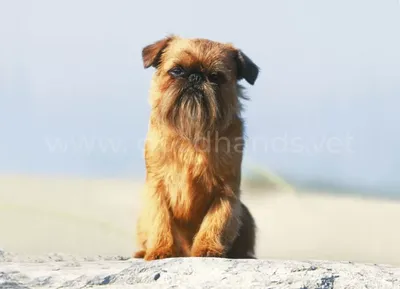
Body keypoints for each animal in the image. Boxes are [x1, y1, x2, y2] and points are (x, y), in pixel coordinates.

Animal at [134, 35, 260, 260]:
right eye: (176, 71)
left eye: (215, 76)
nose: (195, 77)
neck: (192, 132)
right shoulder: (156, 188)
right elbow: (159, 220)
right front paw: (160, 250)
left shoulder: (225, 191)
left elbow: (216, 221)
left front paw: (208, 248)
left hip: (245, 214)